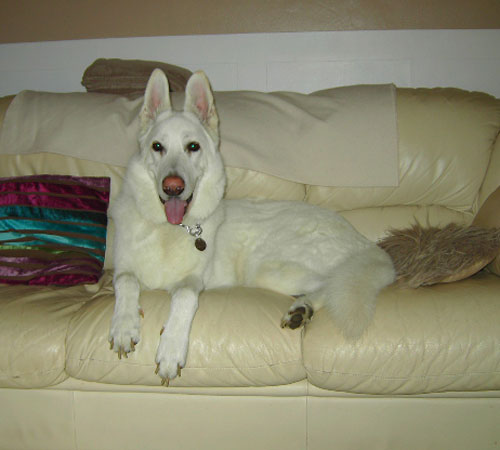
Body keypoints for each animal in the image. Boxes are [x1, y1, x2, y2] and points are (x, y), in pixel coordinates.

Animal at [108, 68, 394, 384]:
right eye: (157, 147)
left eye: (192, 147)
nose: (173, 187)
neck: (170, 230)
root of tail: (365, 243)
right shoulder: (123, 269)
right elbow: (126, 281)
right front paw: (124, 326)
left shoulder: (193, 282)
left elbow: (184, 297)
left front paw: (170, 351)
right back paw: (302, 308)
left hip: (271, 270)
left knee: (333, 283)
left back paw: (303, 307)